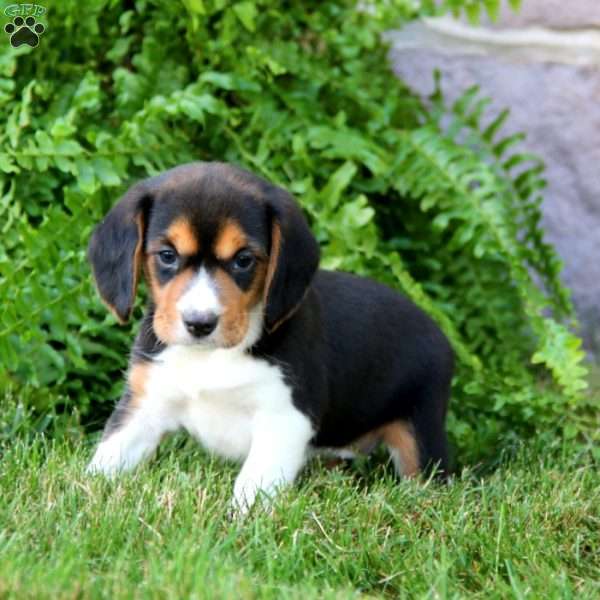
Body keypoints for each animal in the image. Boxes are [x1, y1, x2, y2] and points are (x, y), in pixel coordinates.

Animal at [88, 162, 454, 512]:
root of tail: (439, 334)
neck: (211, 356)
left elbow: (253, 485)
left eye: (243, 260)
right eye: (167, 255)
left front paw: (239, 522)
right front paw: (87, 493)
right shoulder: (145, 405)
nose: (200, 323)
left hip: (420, 434)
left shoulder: (284, 419)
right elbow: (107, 458)